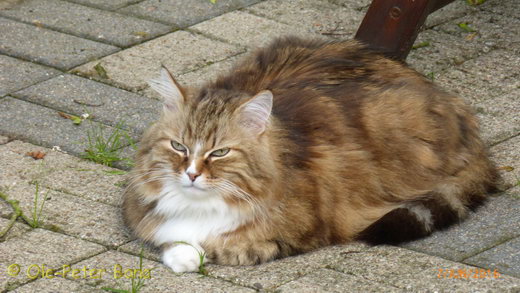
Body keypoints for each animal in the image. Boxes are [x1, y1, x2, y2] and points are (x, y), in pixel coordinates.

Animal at [121, 36, 496, 272]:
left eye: (221, 152)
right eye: (179, 146)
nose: (192, 173)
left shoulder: (301, 232)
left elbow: (229, 247)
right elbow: (169, 239)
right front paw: (182, 253)